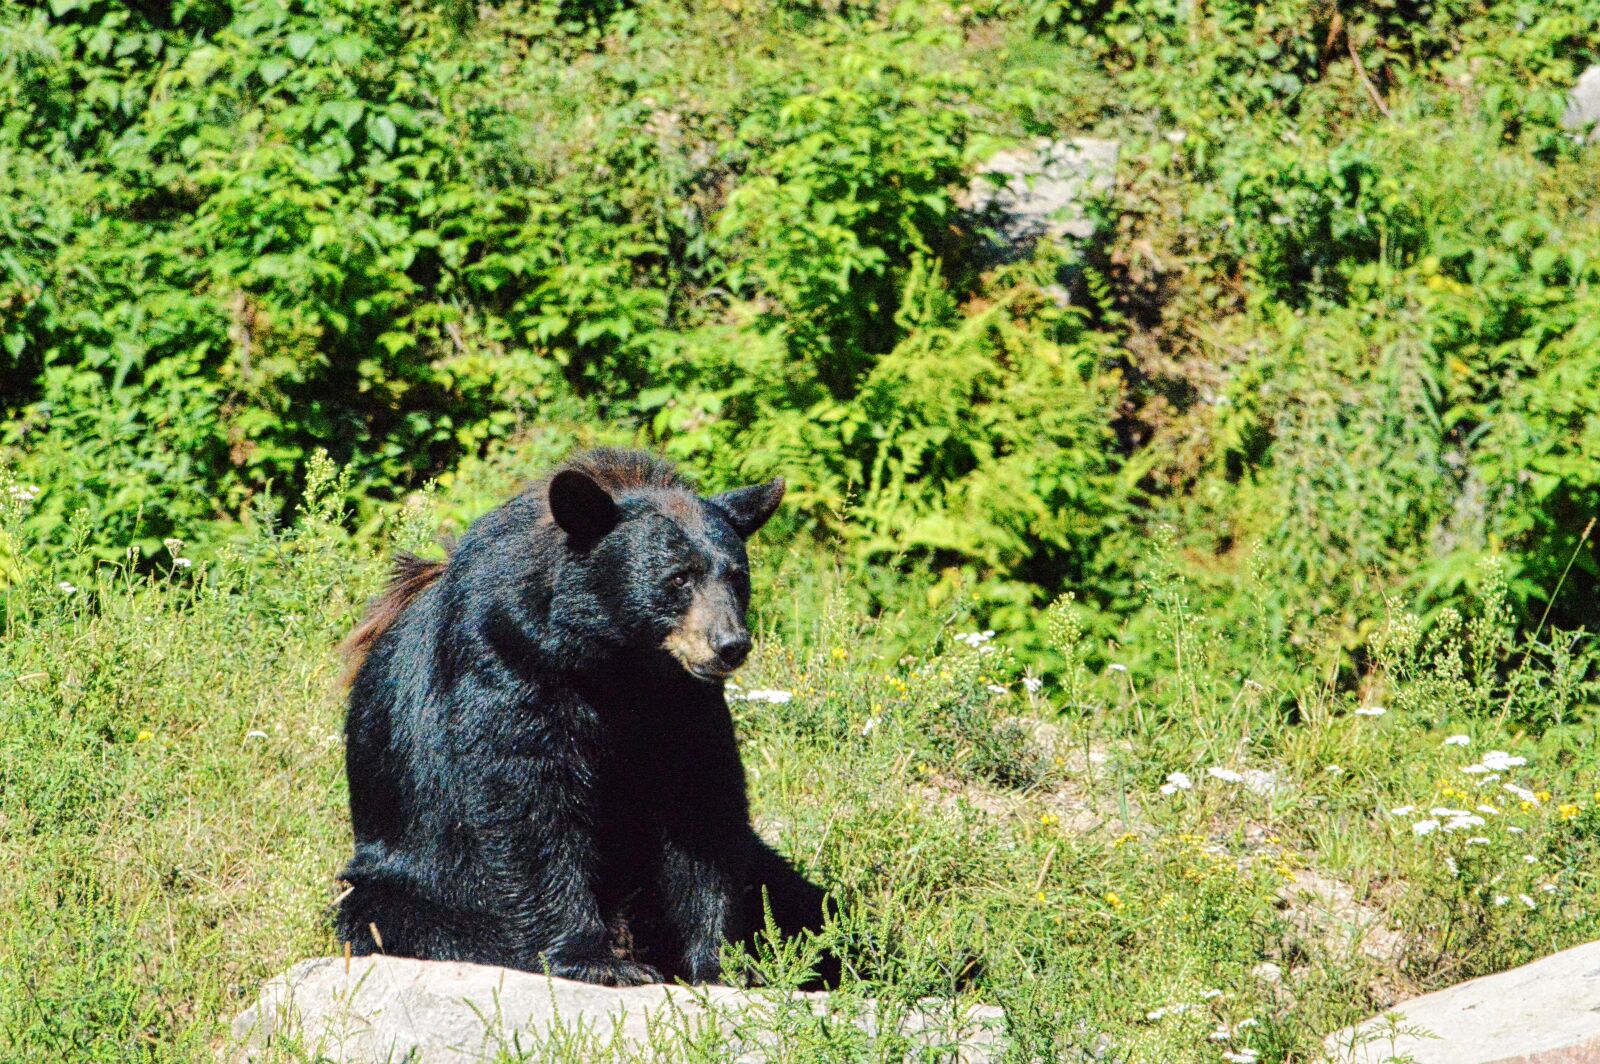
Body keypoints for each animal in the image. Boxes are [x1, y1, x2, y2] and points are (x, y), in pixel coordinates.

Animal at [334, 448, 835, 987]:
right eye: (679, 577)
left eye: (738, 576)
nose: (730, 644)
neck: (616, 663)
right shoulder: (508, 665)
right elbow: (528, 799)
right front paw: (599, 961)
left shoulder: (684, 702)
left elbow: (702, 807)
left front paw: (726, 963)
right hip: (408, 877)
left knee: (801, 895)